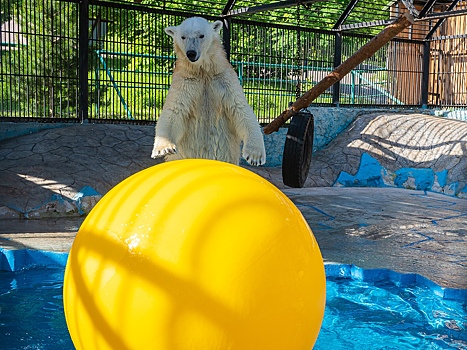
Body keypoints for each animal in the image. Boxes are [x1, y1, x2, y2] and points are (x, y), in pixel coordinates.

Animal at [152, 17, 266, 167]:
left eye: (201, 35)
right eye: (183, 37)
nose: (191, 53)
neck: (203, 71)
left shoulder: (223, 78)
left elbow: (240, 107)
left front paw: (255, 156)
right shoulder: (185, 81)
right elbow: (174, 109)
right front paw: (163, 148)